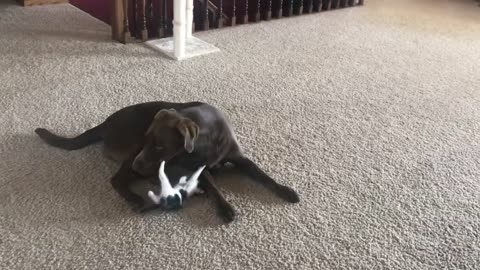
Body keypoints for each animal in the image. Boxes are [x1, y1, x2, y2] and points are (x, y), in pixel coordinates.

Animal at [34, 100, 300, 223]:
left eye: (160, 146)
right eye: (147, 141)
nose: (137, 165)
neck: (207, 138)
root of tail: (104, 124)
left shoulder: (239, 159)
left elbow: (263, 175)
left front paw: (286, 191)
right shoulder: (196, 168)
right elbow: (214, 186)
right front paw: (225, 207)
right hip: (132, 154)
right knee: (116, 179)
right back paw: (135, 197)